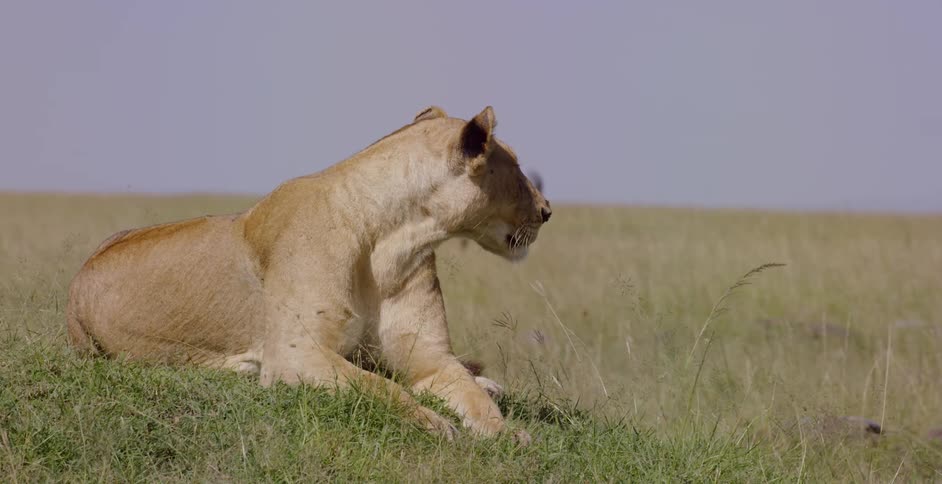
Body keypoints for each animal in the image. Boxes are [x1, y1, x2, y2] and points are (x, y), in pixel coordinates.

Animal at [66, 105, 551, 443]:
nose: (548, 210)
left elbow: (467, 395)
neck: (392, 241)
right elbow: (380, 389)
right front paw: (432, 423)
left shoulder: (430, 357)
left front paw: (507, 432)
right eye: (515, 166)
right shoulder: (295, 354)